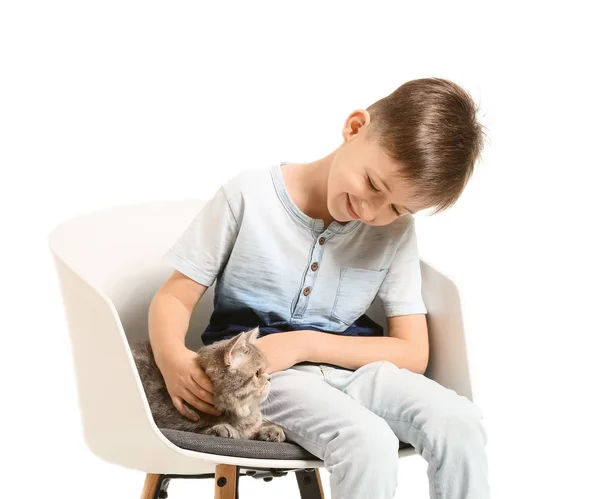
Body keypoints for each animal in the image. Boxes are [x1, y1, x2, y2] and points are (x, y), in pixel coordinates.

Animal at [130, 330, 284, 444]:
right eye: (257, 373)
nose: (270, 378)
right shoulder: (168, 423)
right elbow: (198, 429)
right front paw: (222, 428)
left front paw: (271, 430)